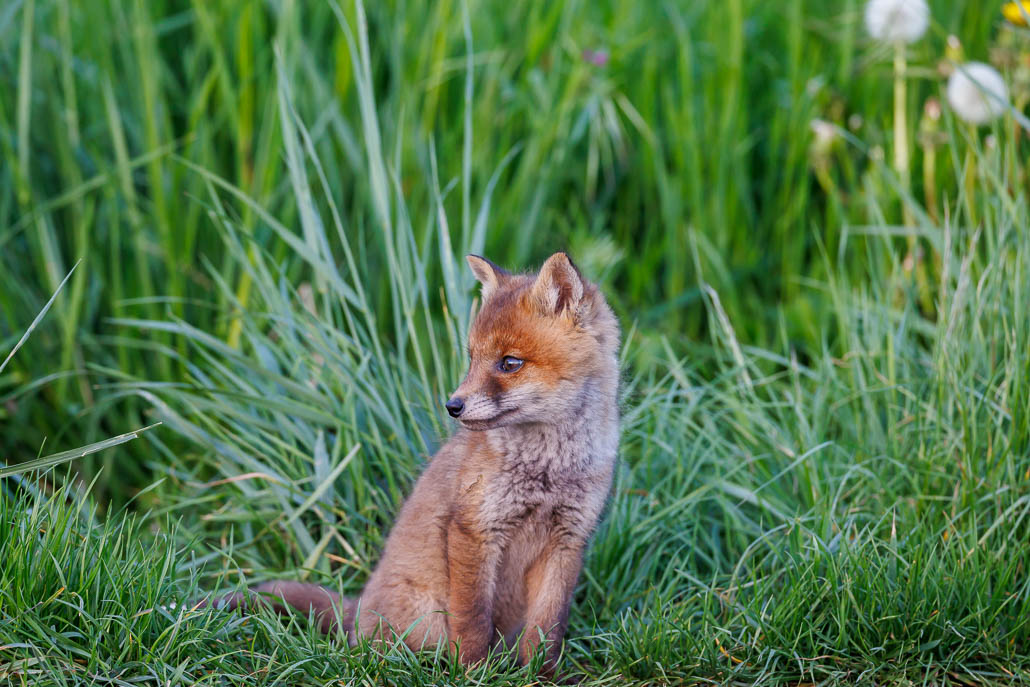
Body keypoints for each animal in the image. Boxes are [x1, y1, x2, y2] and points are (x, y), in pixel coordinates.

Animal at [201, 251, 620, 675]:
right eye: (472, 357)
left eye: (510, 363)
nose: (453, 406)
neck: (548, 470)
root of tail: (357, 609)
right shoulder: (473, 529)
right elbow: (472, 619)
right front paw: (473, 673)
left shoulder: (568, 540)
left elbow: (548, 630)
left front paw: (544, 676)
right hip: (426, 622)